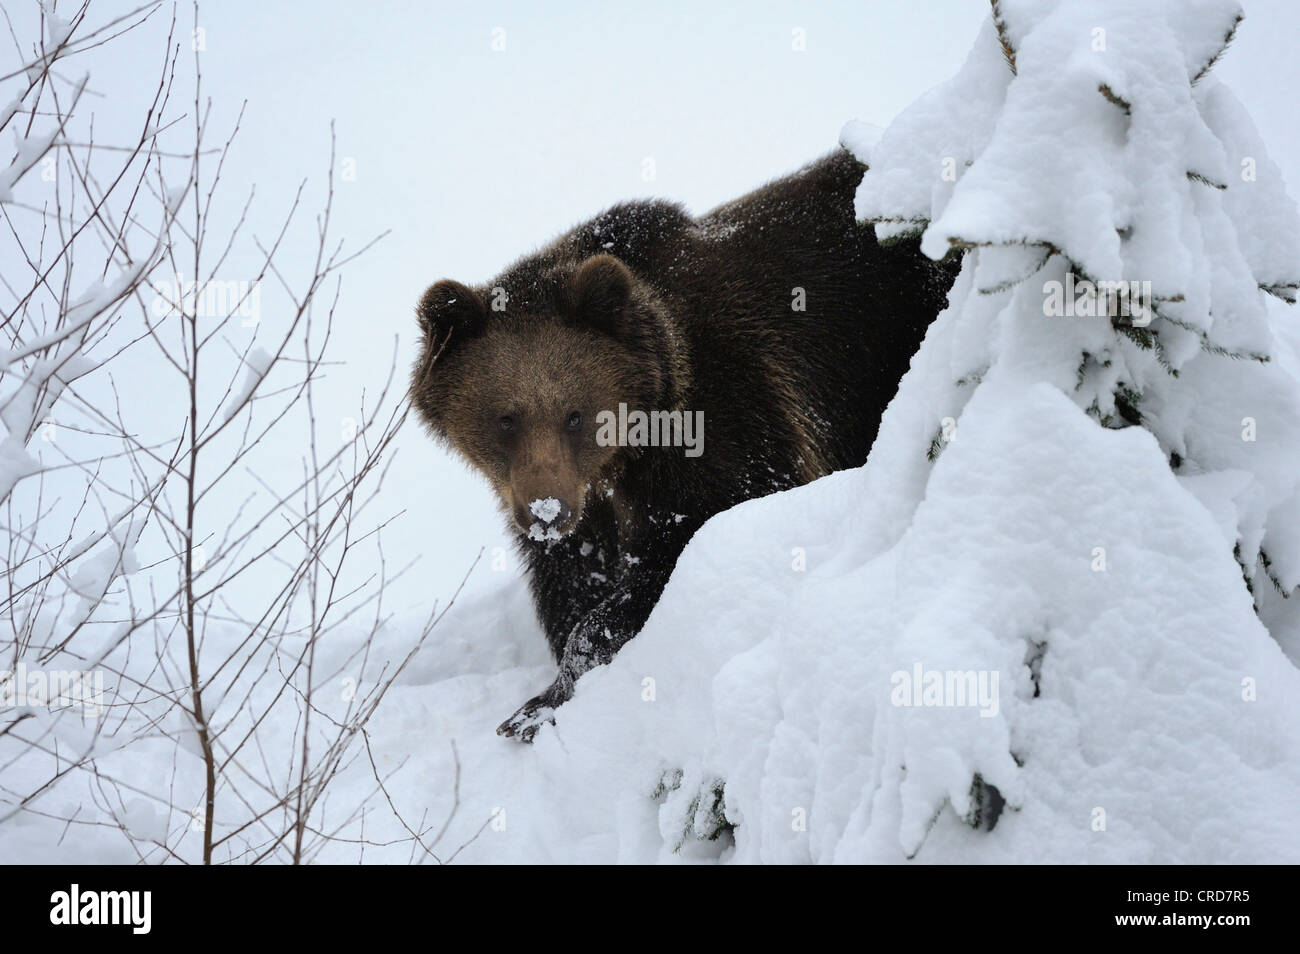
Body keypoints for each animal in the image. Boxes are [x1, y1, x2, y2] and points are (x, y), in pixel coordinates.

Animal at [410, 151, 961, 748]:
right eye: (505, 419)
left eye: (575, 414)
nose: (545, 512)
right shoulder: (578, 511)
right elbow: (571, 584)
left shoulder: (730, 419)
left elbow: (688, 543)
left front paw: (538, 705)